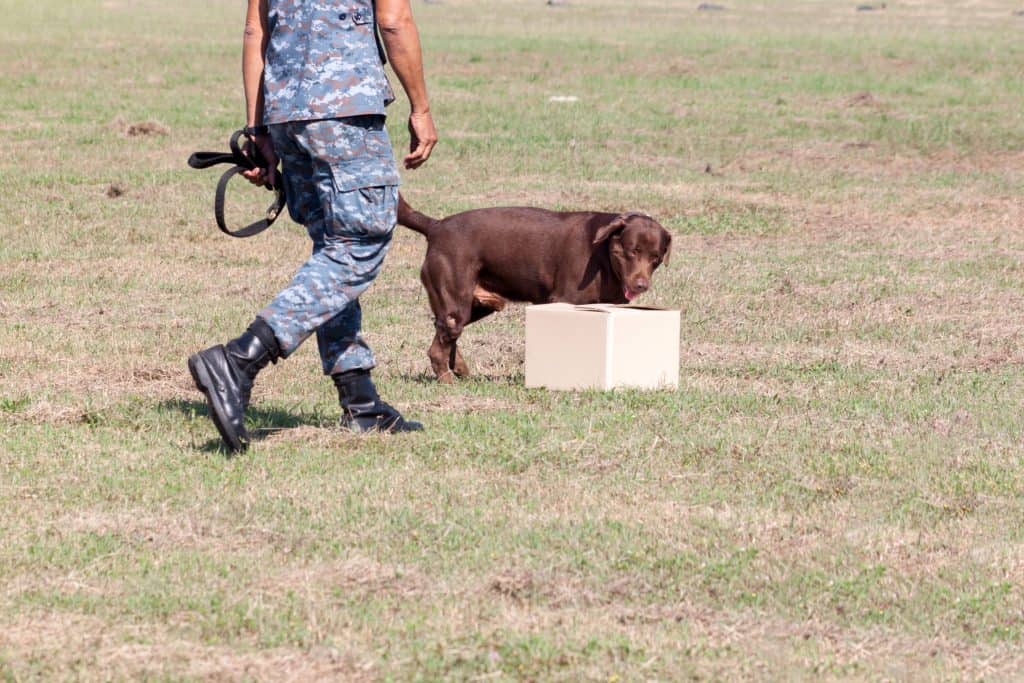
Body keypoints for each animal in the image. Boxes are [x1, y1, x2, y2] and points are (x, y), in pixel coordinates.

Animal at [397, 194, 671, 382]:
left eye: (656, 257)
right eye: (632, 250)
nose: (641, 284)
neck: (603, 255)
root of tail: (435, 226)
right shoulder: (563, 299)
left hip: (476, 305)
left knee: (444, 332)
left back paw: (461, 370)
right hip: (456, 297)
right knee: (439, 345)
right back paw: (447, 380)